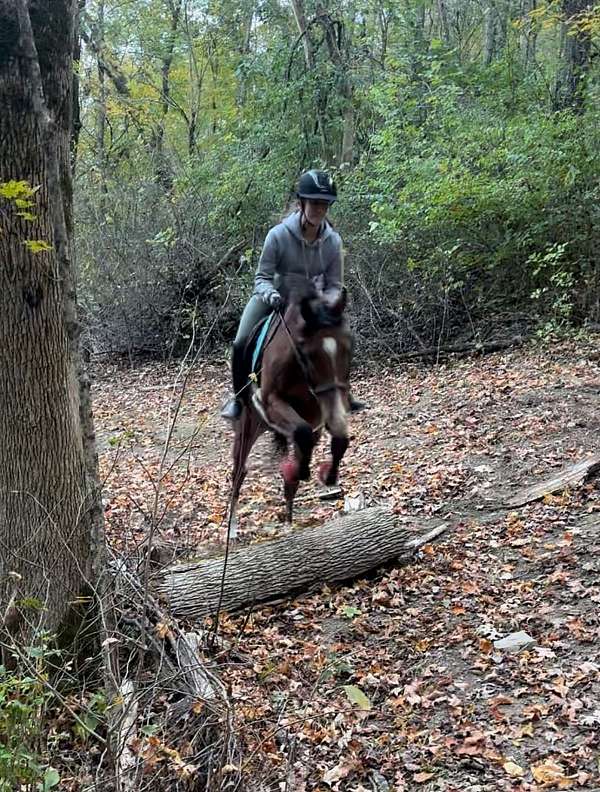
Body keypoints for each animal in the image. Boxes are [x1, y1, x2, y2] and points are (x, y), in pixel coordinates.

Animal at [229, 284, 352, 532]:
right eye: (310, 353)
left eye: (346, 348)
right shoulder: (271, 402)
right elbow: (302, 435)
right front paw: (299, 471)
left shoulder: (320, 411)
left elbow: (336, 439)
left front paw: (327, 475)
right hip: (247, 426)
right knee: (239, 472)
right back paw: (232, 529)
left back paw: (288, 519)